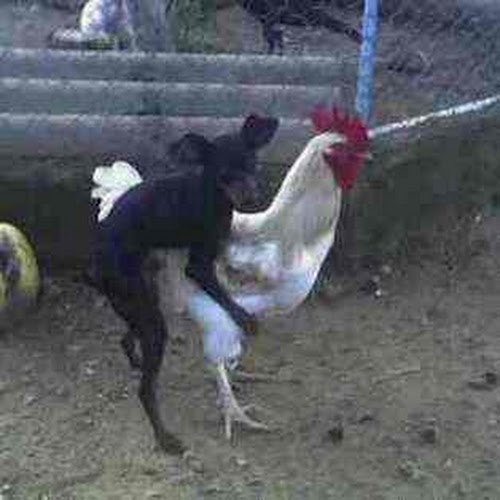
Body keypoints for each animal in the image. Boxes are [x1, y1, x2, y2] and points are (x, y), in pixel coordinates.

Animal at [88, 115, 279, 454]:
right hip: (147, 312)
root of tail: (96, 267)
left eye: (253, 165)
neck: (209, 193)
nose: (252, 199)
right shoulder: (198, 266)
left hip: (141, 298)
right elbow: (221, 292)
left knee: (128, 337)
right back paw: (164, 437)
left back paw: (137, 360)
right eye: (225, 174)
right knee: (145, 390)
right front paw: (243, 317)